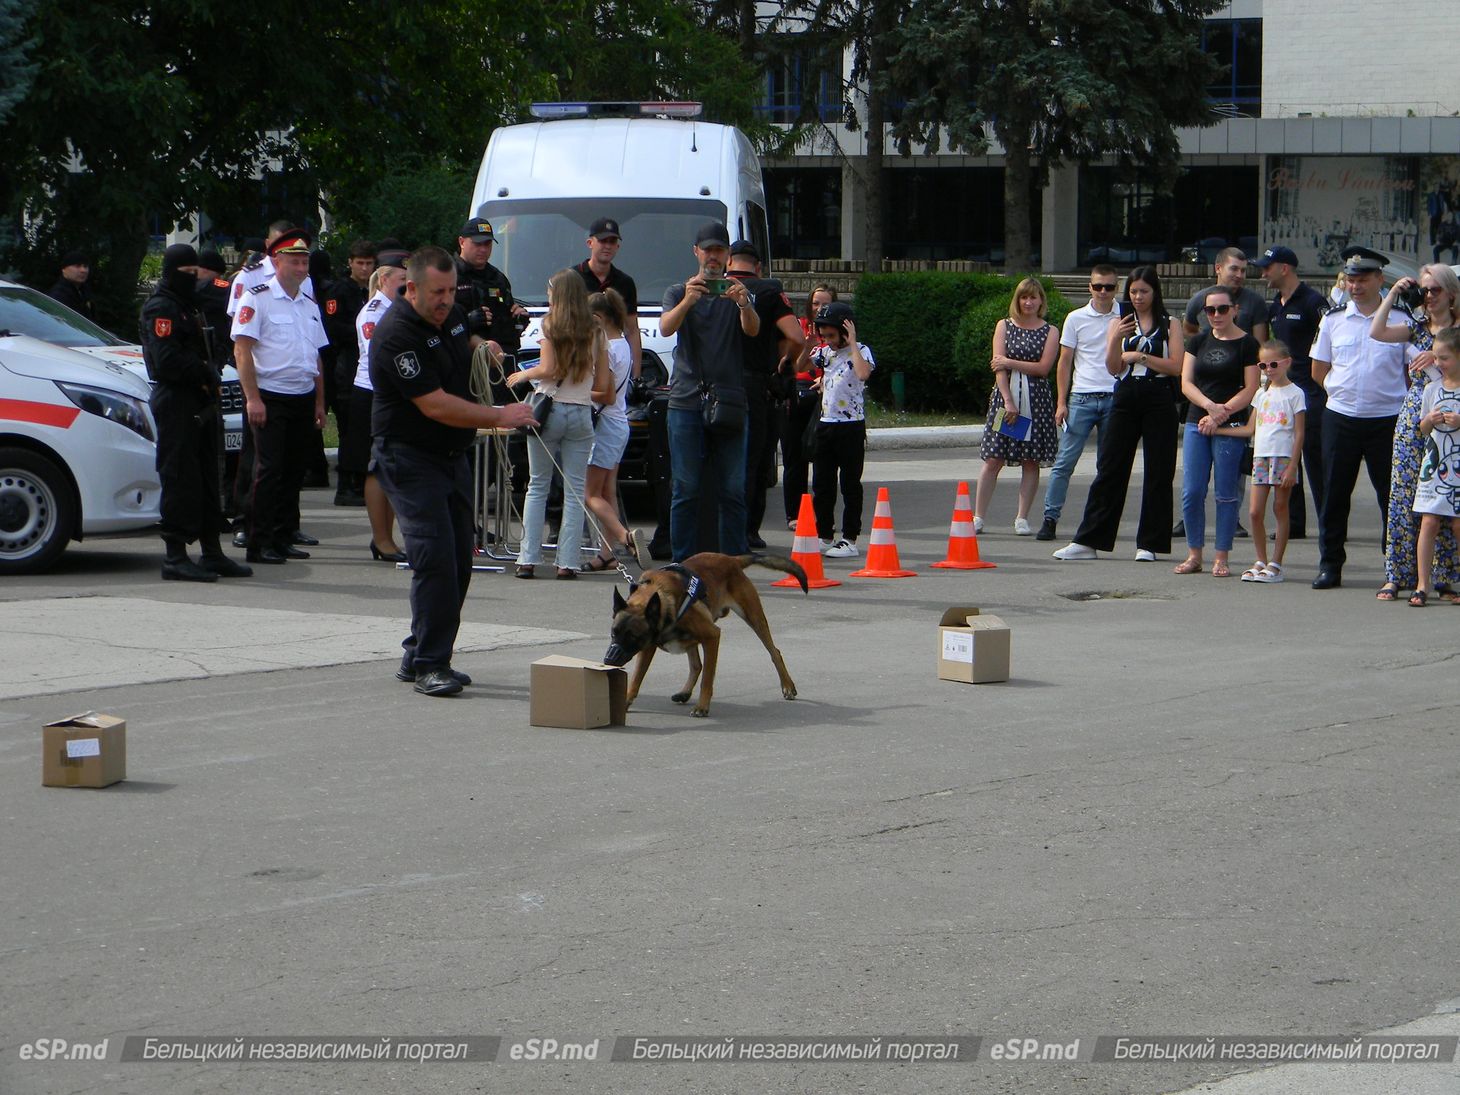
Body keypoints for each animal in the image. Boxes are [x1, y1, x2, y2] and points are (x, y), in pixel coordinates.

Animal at [604, 548, 811, 721]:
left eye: (632, 637)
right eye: (613, 633)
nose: (609, 659)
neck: (662, 599)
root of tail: (731, 559)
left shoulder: (712, 637)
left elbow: (707, 679)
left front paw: (702, 707)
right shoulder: (648, 647)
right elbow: (637, 678)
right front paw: (626, 701)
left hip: (754, 618)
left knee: (774, 652)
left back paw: (787, 686)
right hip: (693, 637)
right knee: (696, 665)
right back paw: (685, 692)